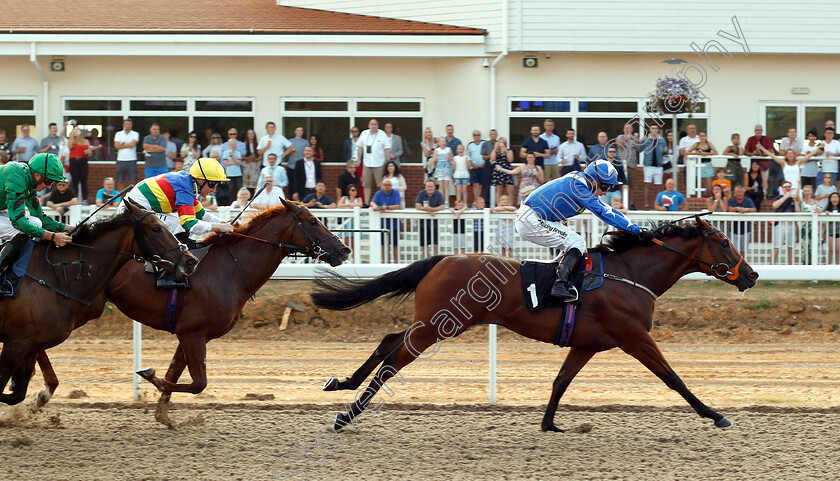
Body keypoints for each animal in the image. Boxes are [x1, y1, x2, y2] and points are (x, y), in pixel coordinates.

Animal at [0, 199, 194, 404]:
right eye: (157, 228)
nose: (190, 261)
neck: (55, 274)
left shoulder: (31, 345)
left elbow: (16, 394)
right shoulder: (17, 342)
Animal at [36, 197, 348, 426]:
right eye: (312, 221)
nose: (344, 250)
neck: (230, 268)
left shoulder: (190, 334)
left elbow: (176, 374)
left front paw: (163, 415)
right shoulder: (193, 333)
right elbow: (197, 383)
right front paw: (149, 377)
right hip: (82, 307)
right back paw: (43, 392)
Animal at [312, 217, 756, 432]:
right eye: (724, 243)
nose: (750, 275)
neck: (631, 274)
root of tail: (443, 258)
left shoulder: (587, 344)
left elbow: (560, 381)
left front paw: (549, 423)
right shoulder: (634, 337)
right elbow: (673, 378)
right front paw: (716, 415)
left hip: (433, 323)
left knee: (390, 340)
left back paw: (342, 384)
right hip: (440, 325)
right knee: (394, 360)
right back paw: (346, 416)